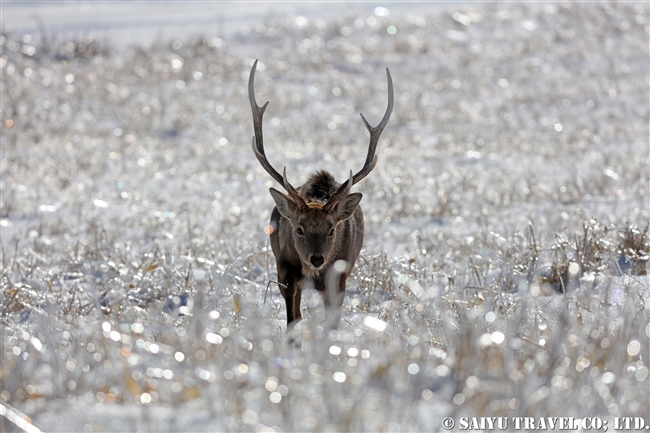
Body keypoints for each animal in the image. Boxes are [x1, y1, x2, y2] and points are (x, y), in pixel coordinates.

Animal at [247, 60, 390, 328]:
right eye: (298, 229)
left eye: (332, 229)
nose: (316, 259)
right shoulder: (285, 270)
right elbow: (292, 320)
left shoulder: (339, 276)